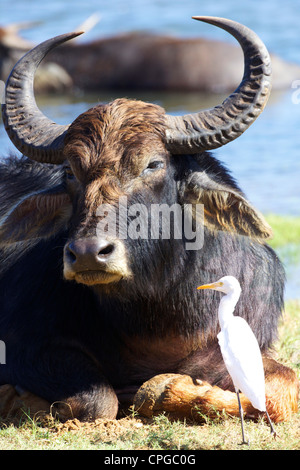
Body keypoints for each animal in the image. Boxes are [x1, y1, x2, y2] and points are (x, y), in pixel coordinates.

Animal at [0, 17, 298, 422]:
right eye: (70, 173)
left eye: (153, 164)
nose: (89, 254)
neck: (157, 319)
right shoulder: (28, 342)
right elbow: (98, 400)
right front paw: (16, 397)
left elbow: (283, 388)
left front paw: (167, 389)